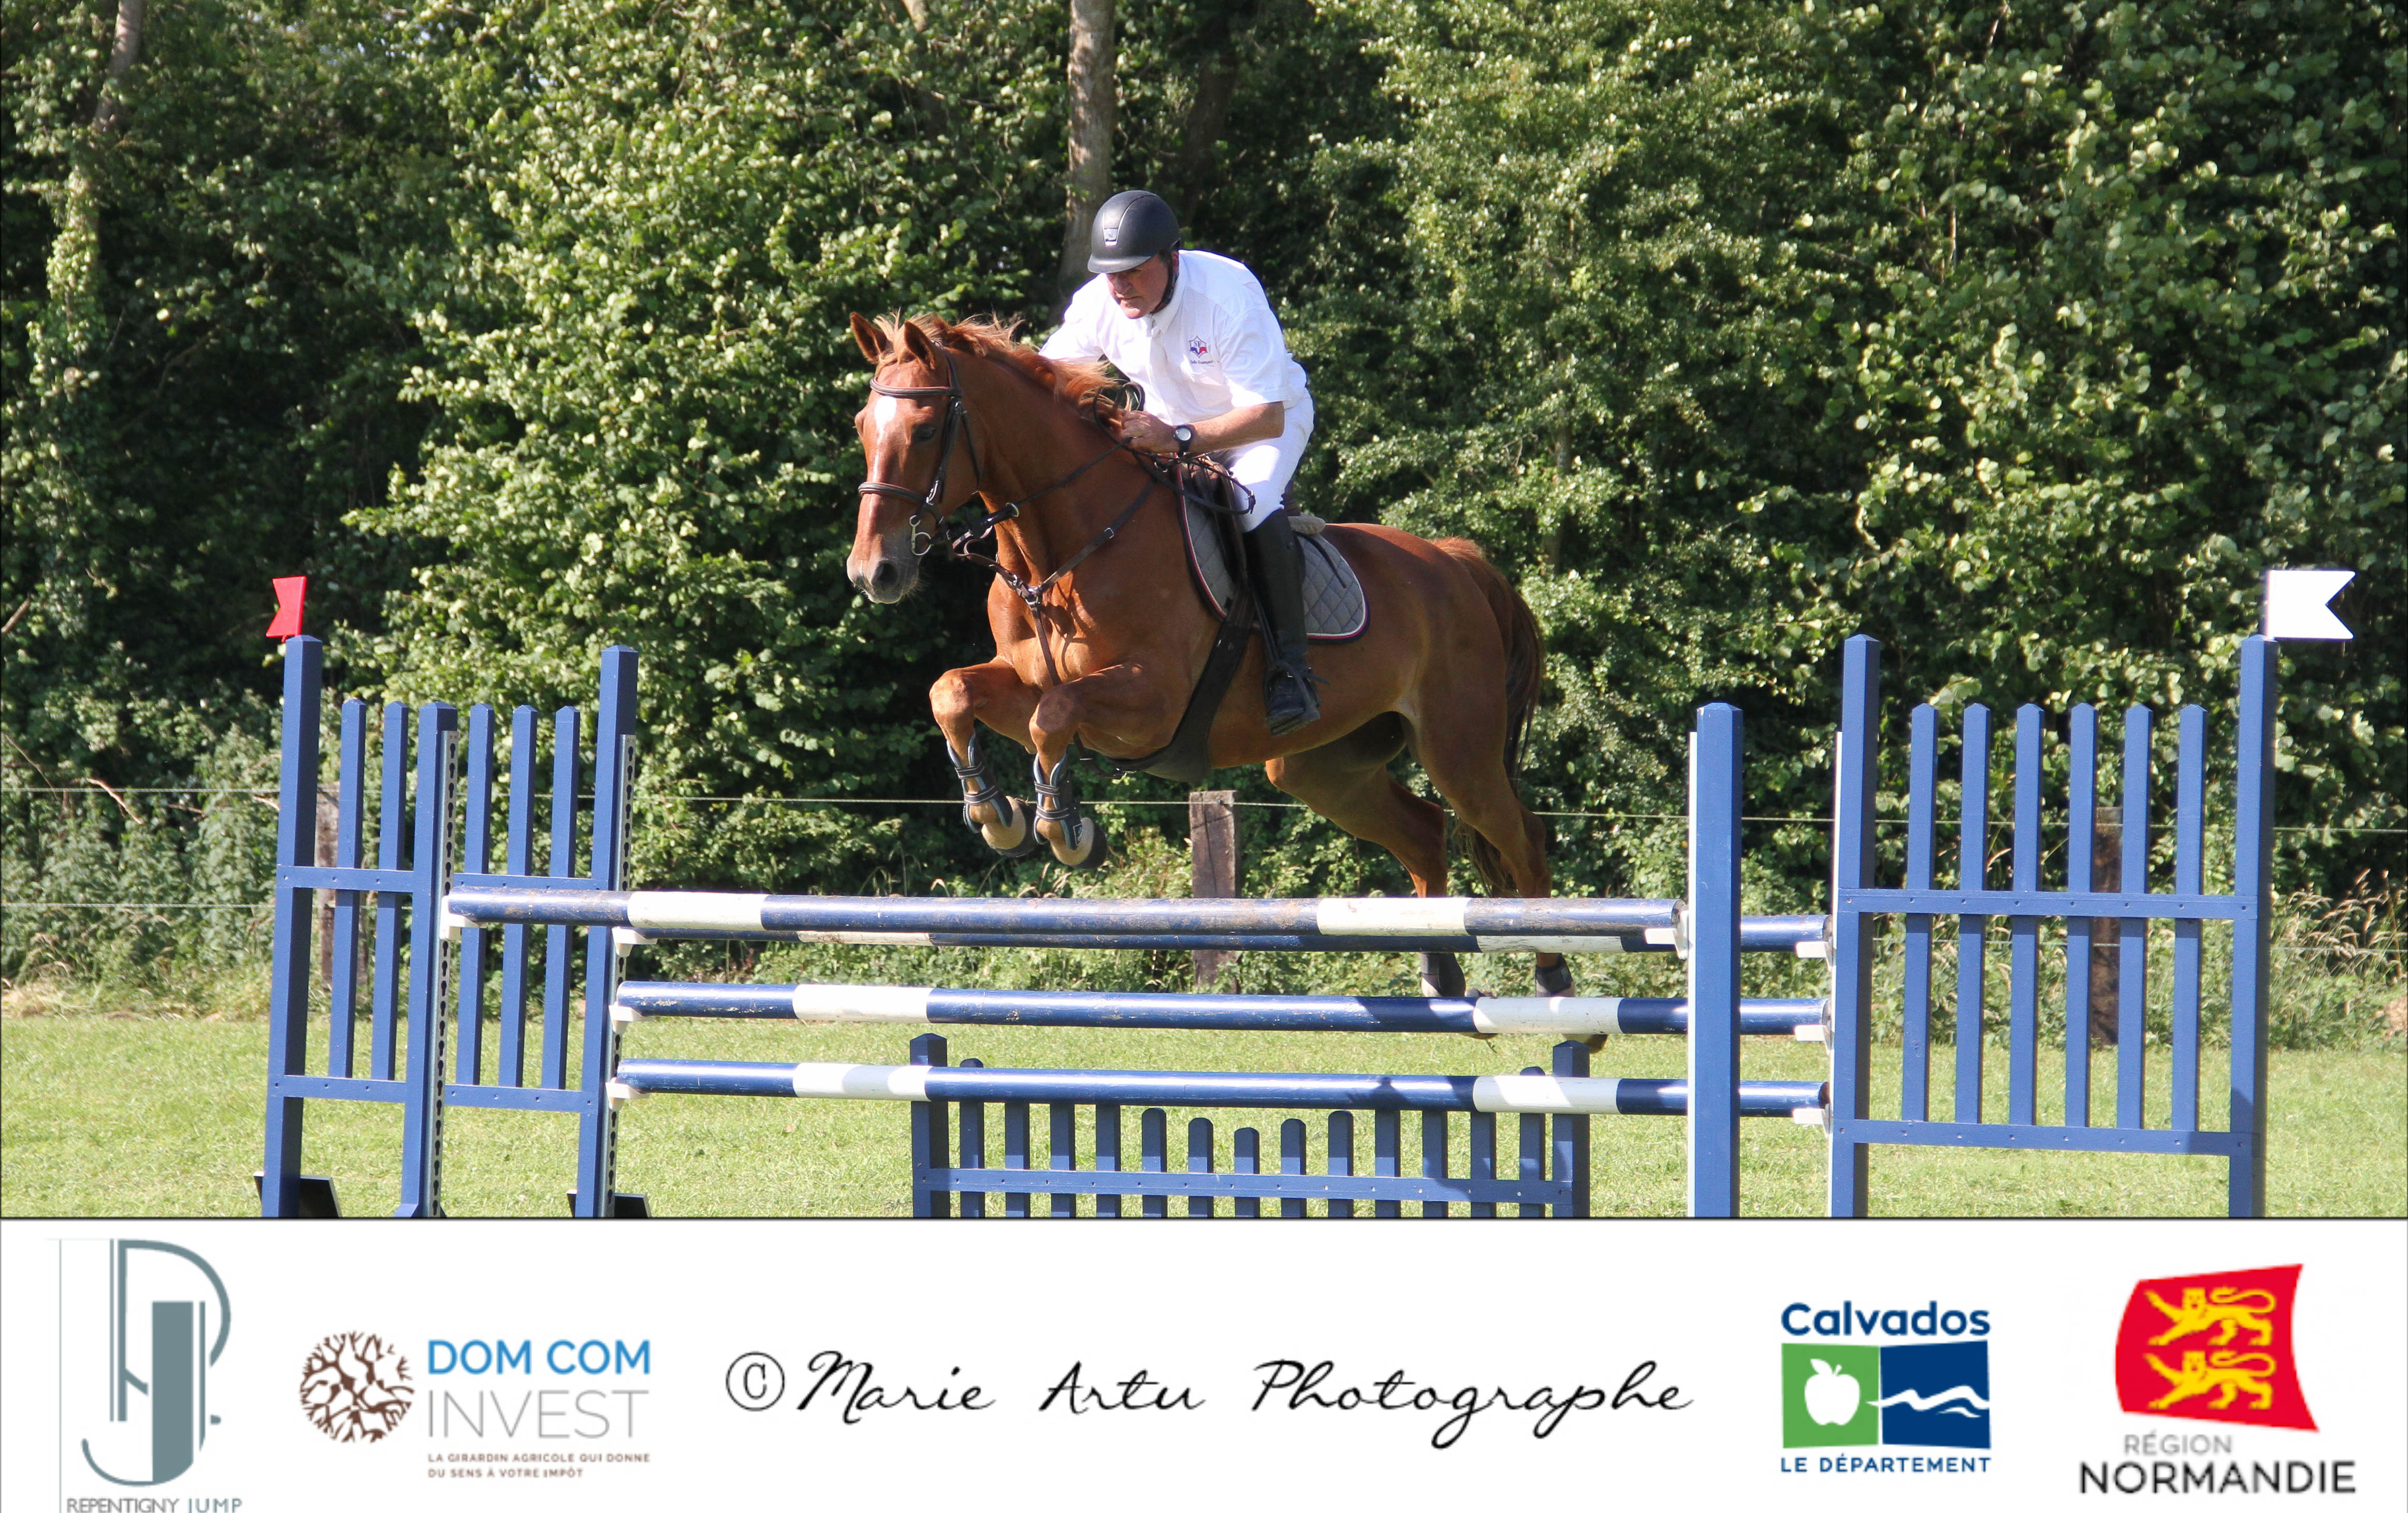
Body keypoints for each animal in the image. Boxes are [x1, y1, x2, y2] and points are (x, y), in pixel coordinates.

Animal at [845, 312, 1570, 996]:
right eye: (861, 426)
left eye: (926, 430)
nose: (874, 572)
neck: (1064, 553)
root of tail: (1454, 561)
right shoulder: (1022, 683)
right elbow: (954, 692)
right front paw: (997, 814)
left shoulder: (1151, 704)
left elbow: (1053, 718)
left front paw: (1063, 829)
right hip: (1324, 767)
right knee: (1422, 831)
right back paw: (1438, 973)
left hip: (1458, 748)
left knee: (1521, 836)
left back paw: (1553, 978)